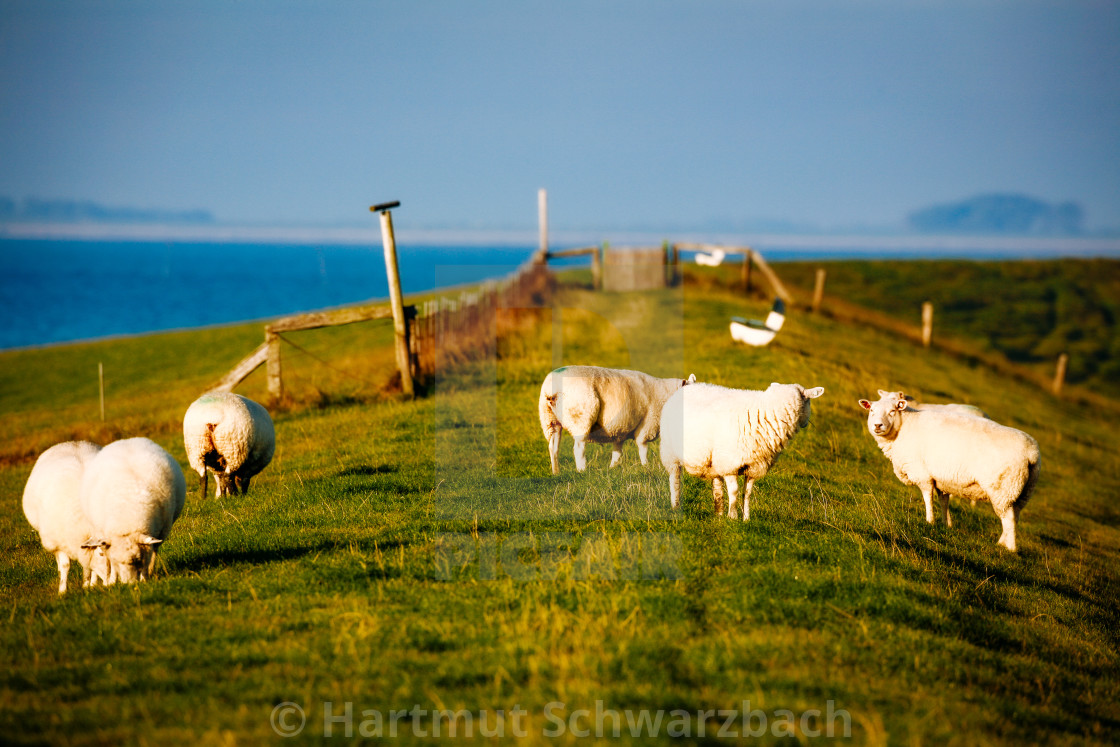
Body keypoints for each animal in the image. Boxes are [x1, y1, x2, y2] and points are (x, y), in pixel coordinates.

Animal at [20, 441, 110, 591]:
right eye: (101, 554)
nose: (111, 584)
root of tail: (72, 443)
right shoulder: (57, 541)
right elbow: (65, 565)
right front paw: (62, 591)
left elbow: (89, 566)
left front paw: (89, 585)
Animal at [78, 439, 184, 582]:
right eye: (116, 561)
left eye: (137, 560)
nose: (130, 583)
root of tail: (127, 440)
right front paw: (112, 581)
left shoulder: (160, 533)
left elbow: (150, 556)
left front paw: (146, 577)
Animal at [539, 367, 694, 477]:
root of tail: (552, 388)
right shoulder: (646, 426)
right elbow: (642, 448)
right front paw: (646, 467)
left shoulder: (620, 429)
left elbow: (617, 452)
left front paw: (612, 468)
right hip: (581, 419)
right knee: (578, 448)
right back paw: (582, 470)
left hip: (550, 421)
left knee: (553, 447)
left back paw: (556, 472)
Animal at [654, 383, 824, 517]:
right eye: (808, 401)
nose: (806, 423)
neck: (767, 412)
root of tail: (686, 386)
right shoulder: (730, 464)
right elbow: (734, 491)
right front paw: (733, 517)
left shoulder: (753, 466)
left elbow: (747, 493)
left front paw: (746, 518)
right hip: (670, 451)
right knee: (675, 479)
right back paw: (675, 506)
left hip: (716, 460)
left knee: (717, 485)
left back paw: (719, 513)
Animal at [855, 389, 1039, 553]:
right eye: (871, 410)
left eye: (892, 411)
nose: (877, 425)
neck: (905, 425)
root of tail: (1031, 452)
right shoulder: (941, 478)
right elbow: (943, 501)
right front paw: (946, 524)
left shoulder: (922, 472)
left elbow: (927, 497)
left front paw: (929, 521)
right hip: (1022, 490)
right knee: (1014, 515)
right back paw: (1002, 542)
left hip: (1003, 488)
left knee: (1008, 518)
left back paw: (1010, 549)